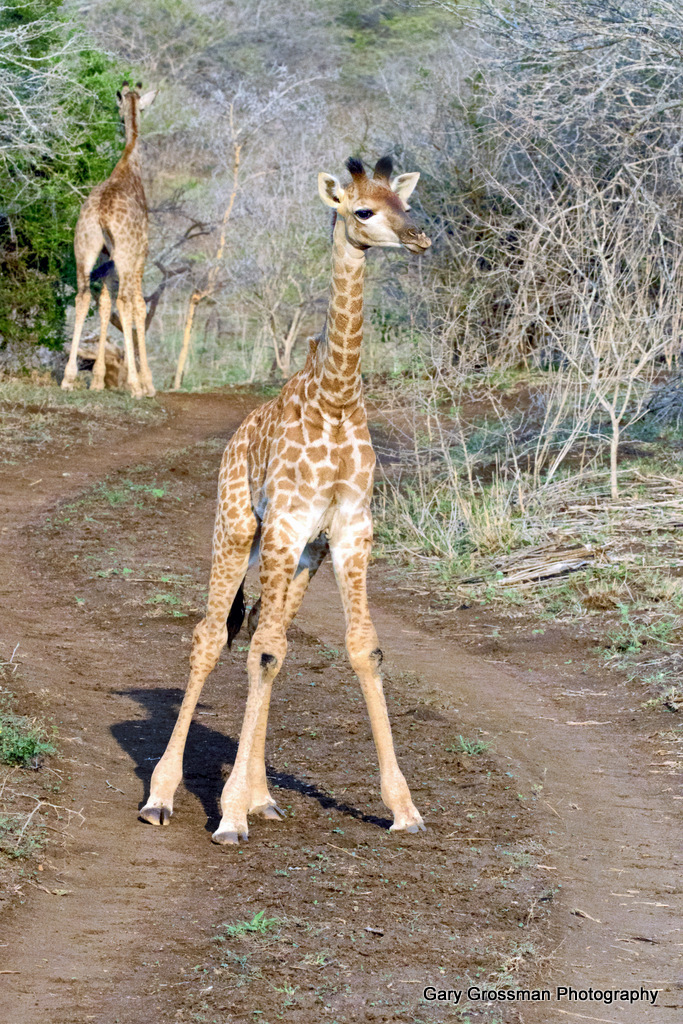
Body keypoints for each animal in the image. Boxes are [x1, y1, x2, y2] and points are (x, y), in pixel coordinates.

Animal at [61, 82, 157, 398]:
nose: (119, 121)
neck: (130, 163)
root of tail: (101, 213)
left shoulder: (106, 256)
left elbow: (103, 303)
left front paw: (98, 380)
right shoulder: (140, 254)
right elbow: (137, 305)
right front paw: (146, 383)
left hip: (84, 248)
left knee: (82, 297)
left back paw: (68, 378)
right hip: (125, 255)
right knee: (126, 301)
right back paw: (136, 386)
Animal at [139, 156, 431, 844]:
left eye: (403, 204)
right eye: (363, 210)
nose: (419, 238)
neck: (337, 397)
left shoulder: (347, 531)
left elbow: (360, 647)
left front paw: (403, 809)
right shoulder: (283, 526)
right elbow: (260, 649)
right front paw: (225, 817)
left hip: (302, 557)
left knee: (264, 642)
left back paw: (260, 798)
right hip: (237, 528)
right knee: (213, 636)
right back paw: (163, 796)